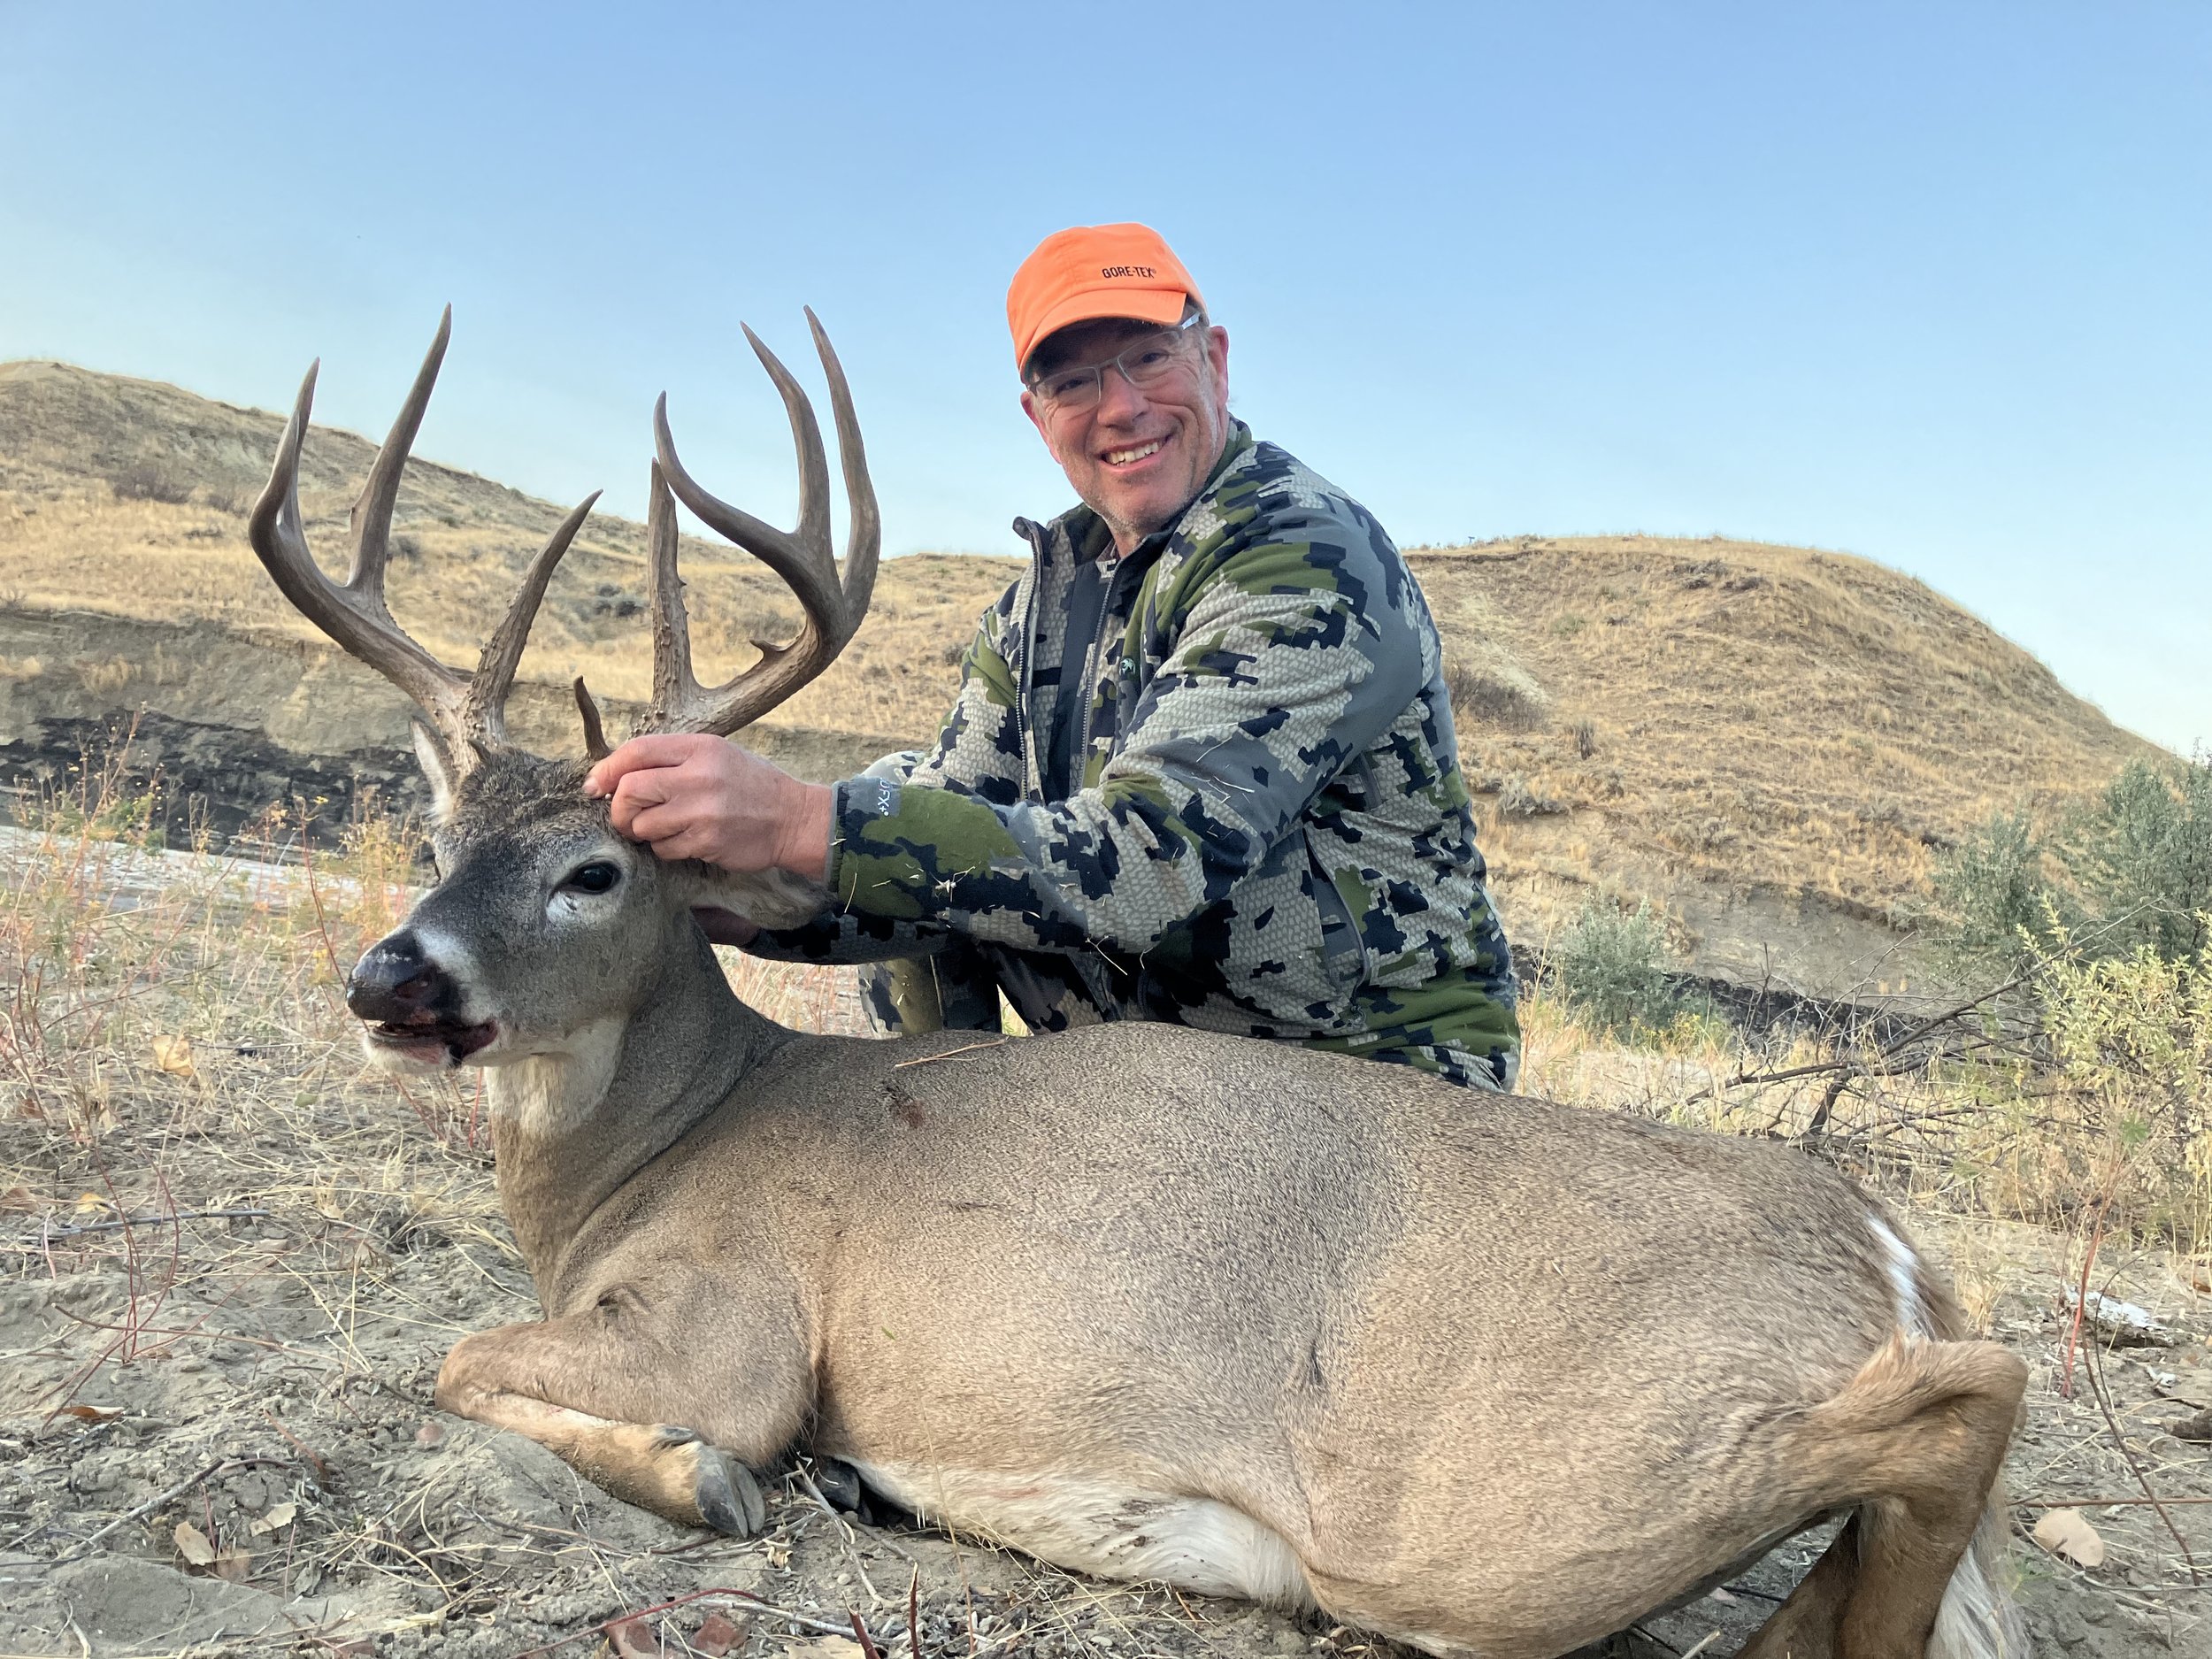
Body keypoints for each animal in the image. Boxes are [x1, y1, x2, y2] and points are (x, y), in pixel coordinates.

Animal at [247, 311, 2030, 1659]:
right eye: (435, 835)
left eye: (594, 870)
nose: (389, 975)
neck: (650, 1157)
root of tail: (1890, 1253)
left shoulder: (735, 1329)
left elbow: (463, 1363)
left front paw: (714, 1483)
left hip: (1486, 1504)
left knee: (1966, 1402)